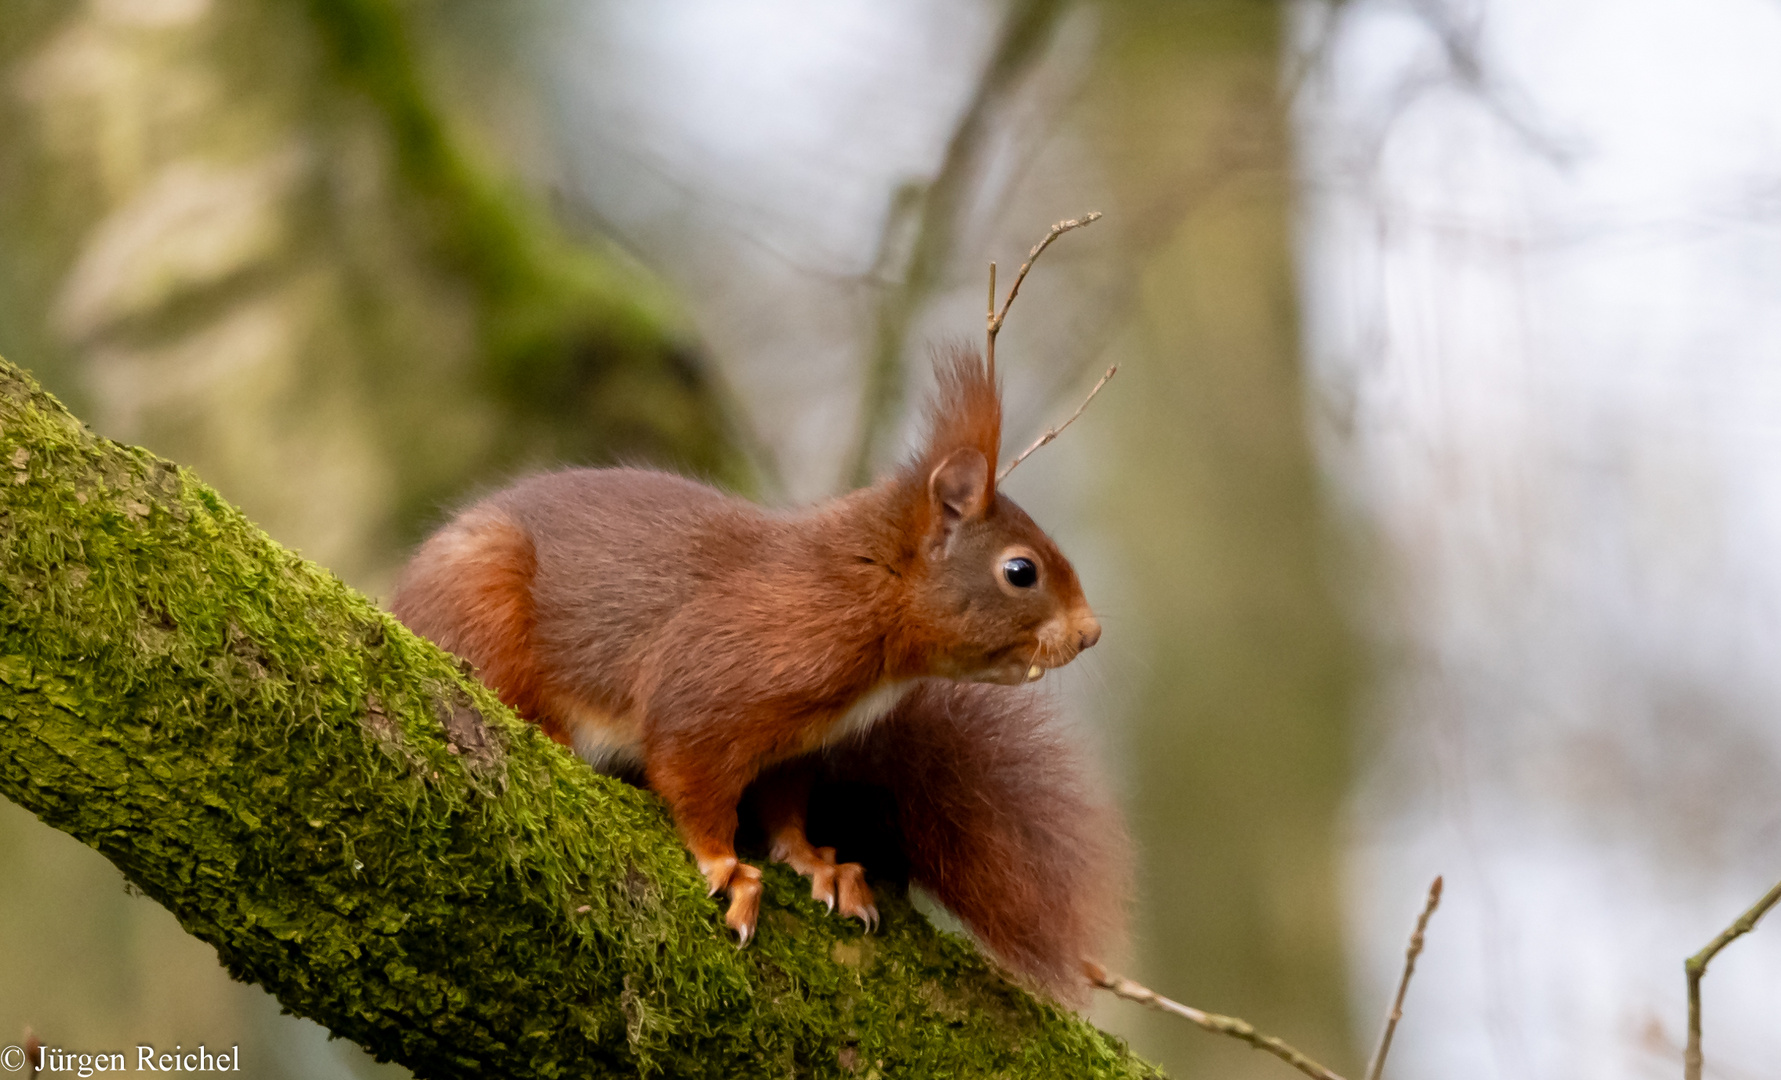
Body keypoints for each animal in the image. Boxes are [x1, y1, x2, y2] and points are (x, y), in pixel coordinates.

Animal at [397, 351, 1132, 1005]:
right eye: (1020, 571)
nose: (1091, 633)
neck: (861, 595)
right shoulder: (715, 687)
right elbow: (691, 778)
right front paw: (726, 867)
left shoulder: (798, 746)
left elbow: (783, 809)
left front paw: (819, 863)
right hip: (483, 597)